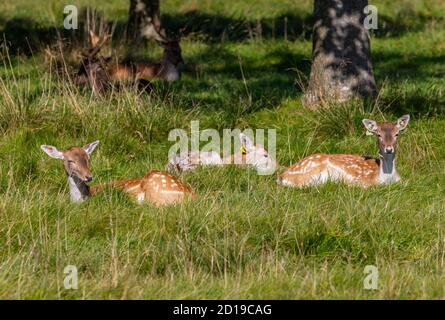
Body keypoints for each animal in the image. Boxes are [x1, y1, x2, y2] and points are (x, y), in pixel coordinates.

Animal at [278, 115, 410, 189]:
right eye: (378, 135)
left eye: (397, 134)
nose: (389, 149)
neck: (386, 179)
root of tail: (281, 176)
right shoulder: (360, 182)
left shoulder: (403, 181)